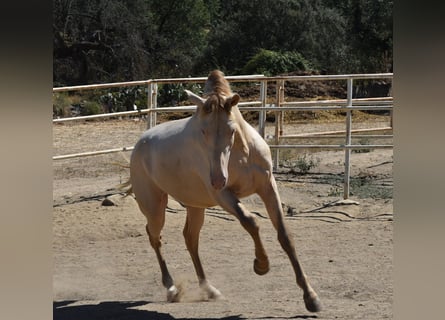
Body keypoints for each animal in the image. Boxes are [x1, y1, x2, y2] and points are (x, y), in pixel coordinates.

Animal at [126, 70, 320, 312]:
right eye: (202, 131)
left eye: (231, 130)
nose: (218, 179)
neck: (242, 155)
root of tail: (140, 144)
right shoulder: (223, 196)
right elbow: (251, 221)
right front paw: (261, 265)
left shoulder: (268, 186)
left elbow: (285, 235)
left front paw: (310, 297)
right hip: (154, 207)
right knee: (154, 236)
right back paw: (171, 289)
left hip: (195, 205)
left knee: (190, 239)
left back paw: (209, 289)